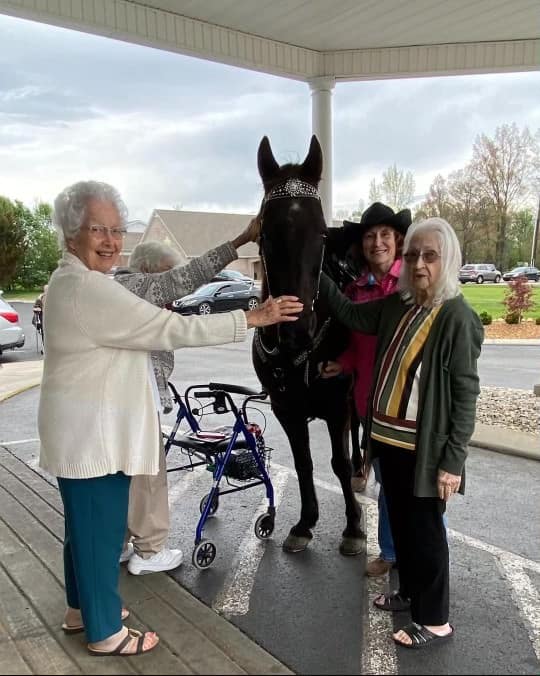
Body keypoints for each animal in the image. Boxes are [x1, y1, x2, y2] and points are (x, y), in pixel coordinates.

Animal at [254, 136, 368, 556]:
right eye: (265, 234)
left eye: (320, 234)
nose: (296, 329)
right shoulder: (287, 408)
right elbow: (304, 462)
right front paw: (305, 522)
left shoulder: (337, 404)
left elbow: (337, 462)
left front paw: (353, 526)